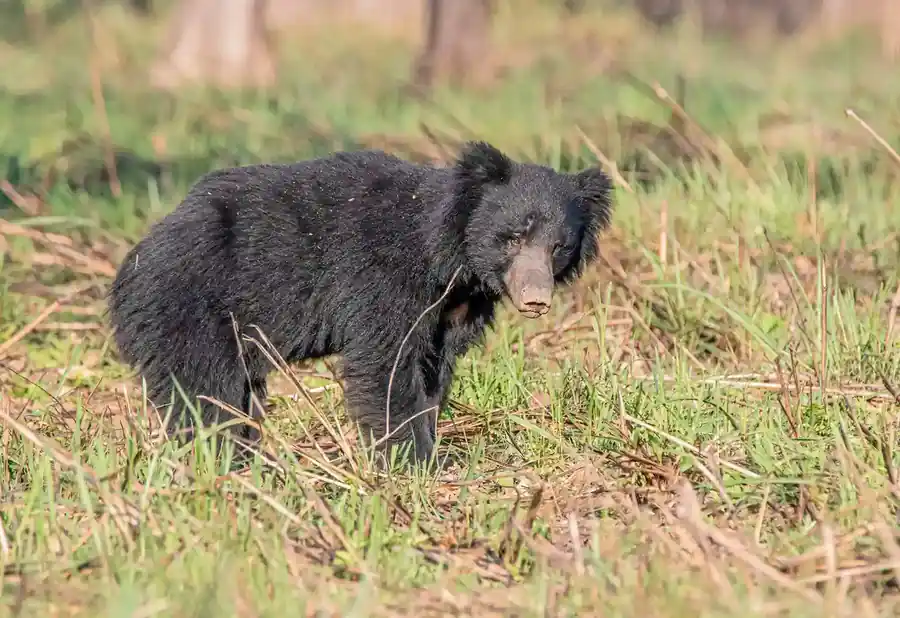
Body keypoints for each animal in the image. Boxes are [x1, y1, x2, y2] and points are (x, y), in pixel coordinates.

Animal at [107, 141, 614, 467]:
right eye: (511, 237)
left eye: (558, 247)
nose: (536, 299)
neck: (452, 262)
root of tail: (129, 267)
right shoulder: (382, 279)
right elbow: (386, 365)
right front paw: (414, 461)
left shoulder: (452, 310)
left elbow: (434, 373)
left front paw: (430, 449)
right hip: (191, 310)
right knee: (203, 393)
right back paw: (220, 460)